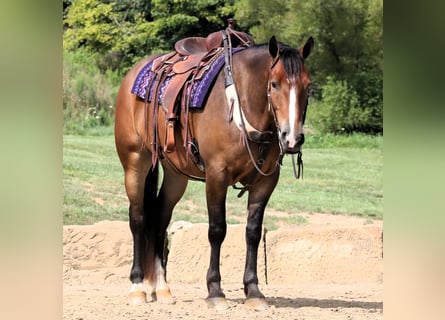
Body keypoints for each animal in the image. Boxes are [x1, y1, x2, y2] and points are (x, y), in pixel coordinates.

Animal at [114, 33, 316, 310]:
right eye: (274, 84)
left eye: (308, 86)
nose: (292, 138)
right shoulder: (216, 177)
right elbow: (217, 230)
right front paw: (215, 290)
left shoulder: (265, 182)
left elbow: (253, 232)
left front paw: (253, 290)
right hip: (135, 162)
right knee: (138, 219)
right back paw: (137, 287)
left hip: (176, 175)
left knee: (159, 219)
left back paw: (162, 288)